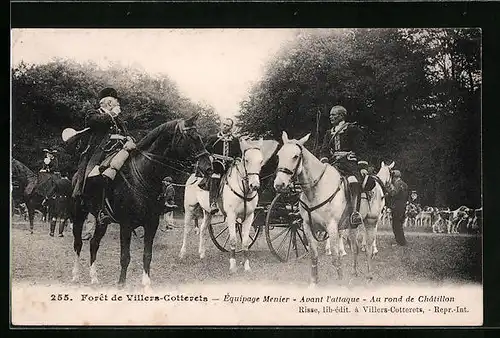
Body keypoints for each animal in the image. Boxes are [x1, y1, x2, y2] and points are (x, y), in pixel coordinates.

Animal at [179, 137, 278, 272]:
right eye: (246, 160)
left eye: (261, 161)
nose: (255, 185)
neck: (244, 190)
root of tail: (194, 176)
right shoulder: (231, 216)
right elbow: (233, 240)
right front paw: (233, 265)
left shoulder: (249, 217)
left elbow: (245, 242)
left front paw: (247, 266)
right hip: (189, 208)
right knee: (187, 230)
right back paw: (182, 253)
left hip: (208, 212)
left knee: (203, 228)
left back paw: (202, 253)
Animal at [274, 131, 390, 284]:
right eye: (279, 155)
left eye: (295, 156)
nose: (279, 184)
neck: (316, 190)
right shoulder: (308, 227)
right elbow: (314, 256)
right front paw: (313, 282)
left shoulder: (332, 227)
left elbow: (336, 258)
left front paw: (340, 283)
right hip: (352, 225)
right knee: (355, 248)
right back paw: (354, 272)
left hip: (371, 221)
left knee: (369, 248)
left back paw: (369, 275)